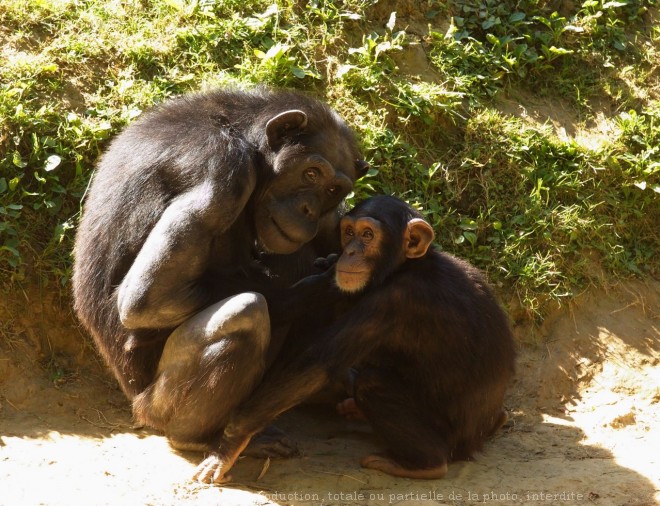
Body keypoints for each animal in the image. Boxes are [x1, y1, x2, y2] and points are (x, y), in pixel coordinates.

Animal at [75, 86, 372, 474]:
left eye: (335, 189)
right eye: (311, 173)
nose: (309, 208)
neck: (248, 141)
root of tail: (134, 406)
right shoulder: (223, 175)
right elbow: (147, 299)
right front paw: (320, 287)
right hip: (156, 406)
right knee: (246, 313)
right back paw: (203, 439)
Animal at [196, 196, 516, 484]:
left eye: (368, 234)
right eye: (349, 232)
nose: (349, 252)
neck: (405, 266)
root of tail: (480, 437)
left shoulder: (394, 301)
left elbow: (317, 365)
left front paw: (227, 447)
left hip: (450, 436)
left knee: (372, 382)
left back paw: (425, 464)